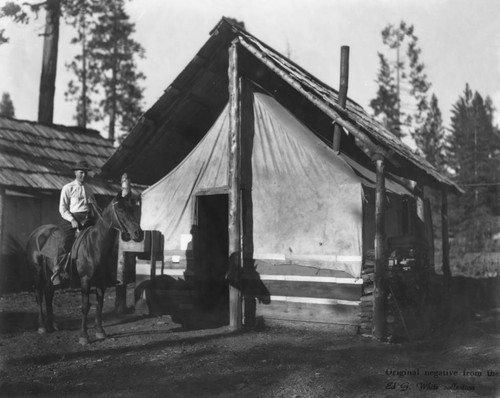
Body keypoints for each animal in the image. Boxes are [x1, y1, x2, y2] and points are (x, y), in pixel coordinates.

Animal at [26, 193, 143, 346]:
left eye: (132, 209)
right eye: (121, 210)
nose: (138, 233)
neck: (95, 245)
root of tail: (36, 233)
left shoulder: (102, 282)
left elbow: (99, 304)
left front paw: (100, 331)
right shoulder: (85, 281)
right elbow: (85, 307)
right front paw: (84, 336)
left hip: (51, 274)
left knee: (48, 293)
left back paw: (53, 325)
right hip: (37, 271)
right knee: (39, 295)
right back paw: (42, 327)